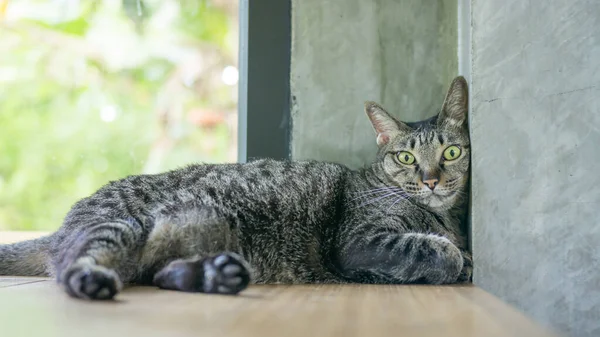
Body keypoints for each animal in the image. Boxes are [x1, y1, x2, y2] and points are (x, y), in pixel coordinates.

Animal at [0, 75, 474, 300]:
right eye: (406, 158)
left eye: (450, 152)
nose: (431, 179)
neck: (442, 215)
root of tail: (61, 227)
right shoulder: (359, 242)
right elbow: (432, 251)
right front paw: (457, 259)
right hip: (119, 227)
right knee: (72, 267)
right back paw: (91, 281)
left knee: (162, 274)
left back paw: (215, 275)